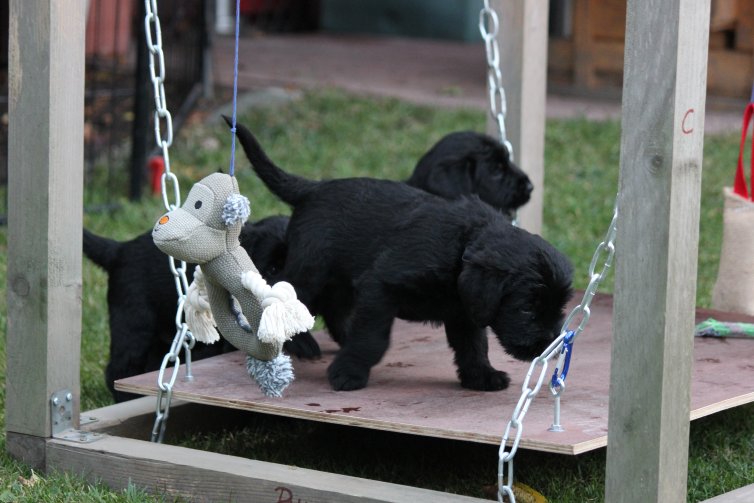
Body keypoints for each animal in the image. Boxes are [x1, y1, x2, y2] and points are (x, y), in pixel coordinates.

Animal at [235, 123, 568, 394]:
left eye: (558, 308)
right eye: (526, 309)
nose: (551, 343)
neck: (460, 247)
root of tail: (313, 188)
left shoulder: (465, 309)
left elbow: (474, 345)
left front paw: (481, 376)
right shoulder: (381, 287)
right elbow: (373, 337)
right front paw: (348, 372)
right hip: (310, 272)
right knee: (283, 298)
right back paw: (300, 343)